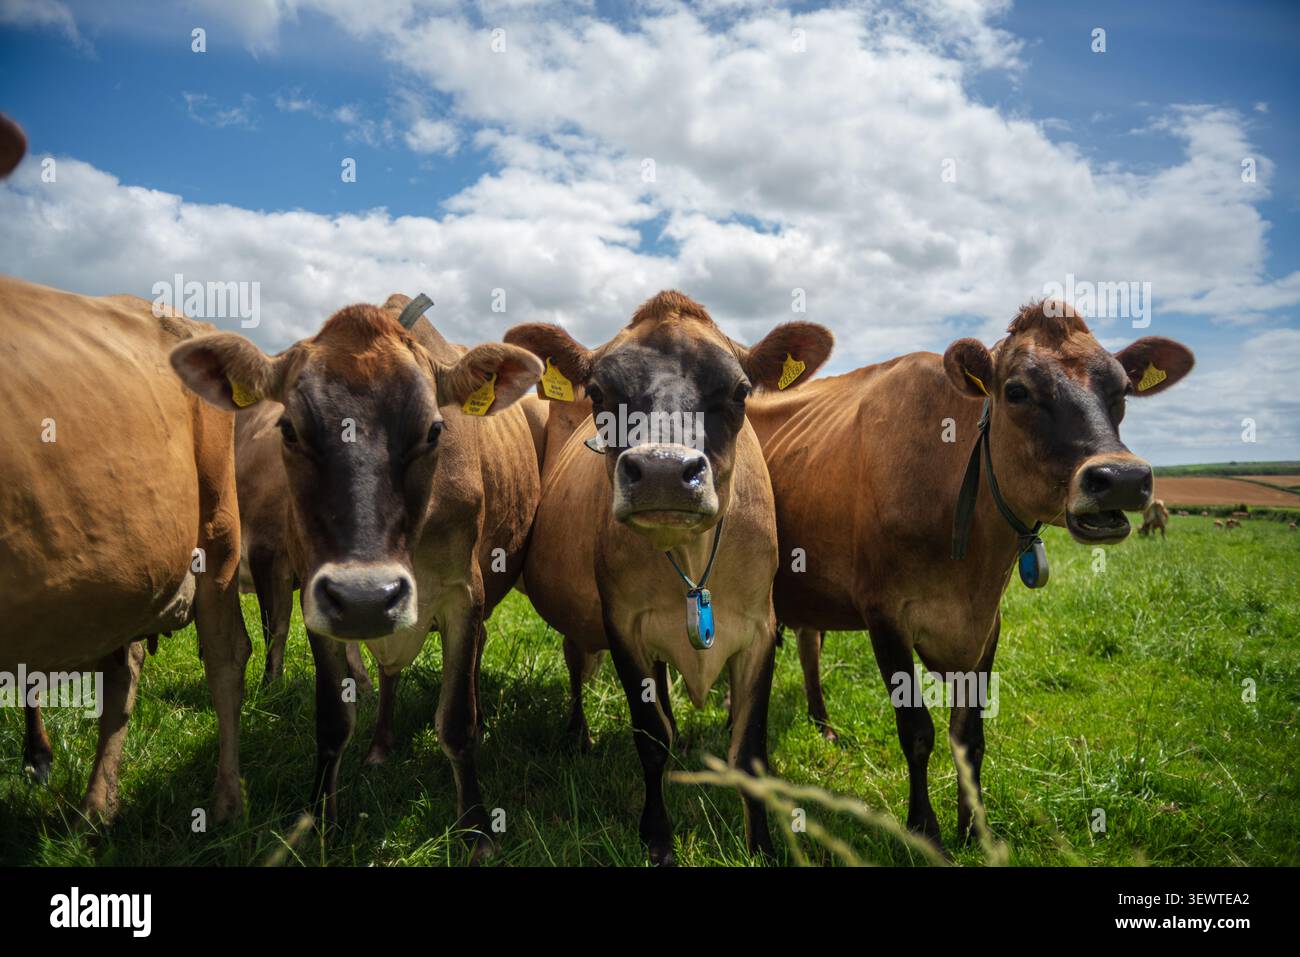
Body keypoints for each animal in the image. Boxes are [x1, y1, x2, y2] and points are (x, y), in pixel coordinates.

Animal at [170, 294, 543, 858]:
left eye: (434, 430)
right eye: (289, 429)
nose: (367, 597)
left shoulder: (465, 594)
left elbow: (457, 721)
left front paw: (477, 829)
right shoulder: (318, 599)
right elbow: (331, 721)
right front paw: (320, 822)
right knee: (388, 675)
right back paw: (381, 746)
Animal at [505, 290, 834, 864]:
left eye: (740, 391)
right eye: (598, 392)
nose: (662, 470)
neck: (692, 562)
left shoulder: (760, 628)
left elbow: (750, 746)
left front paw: (761, 844)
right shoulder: (622, 626)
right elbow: (650, 736)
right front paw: (657, 837)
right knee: (576, 665)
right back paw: (577, 735)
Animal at [747, 300, 1193, 851]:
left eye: (1122, 391)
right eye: (1017, 391)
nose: (1123, 479)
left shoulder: (986, 624)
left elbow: (969, 735)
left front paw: (975, 828)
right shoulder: (884, 614)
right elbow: (917, 731)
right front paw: (926, 830)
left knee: (809, 645)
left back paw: (823, 726)